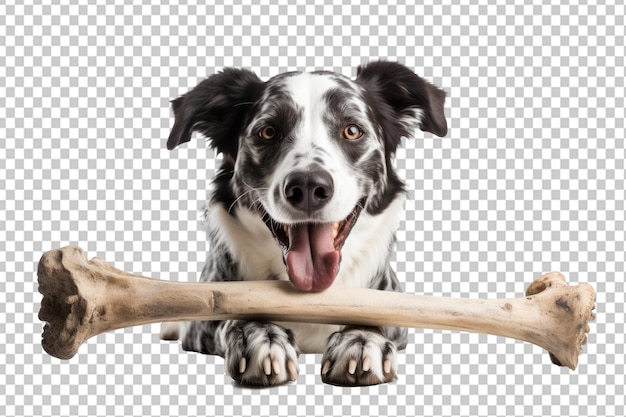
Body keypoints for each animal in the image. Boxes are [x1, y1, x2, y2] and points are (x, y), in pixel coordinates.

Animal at [158, 60, 446, 386]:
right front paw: (259, 335)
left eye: (352, 130)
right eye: (268, 131)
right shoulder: (203, 321)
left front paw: (361, 338)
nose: (308, 187)